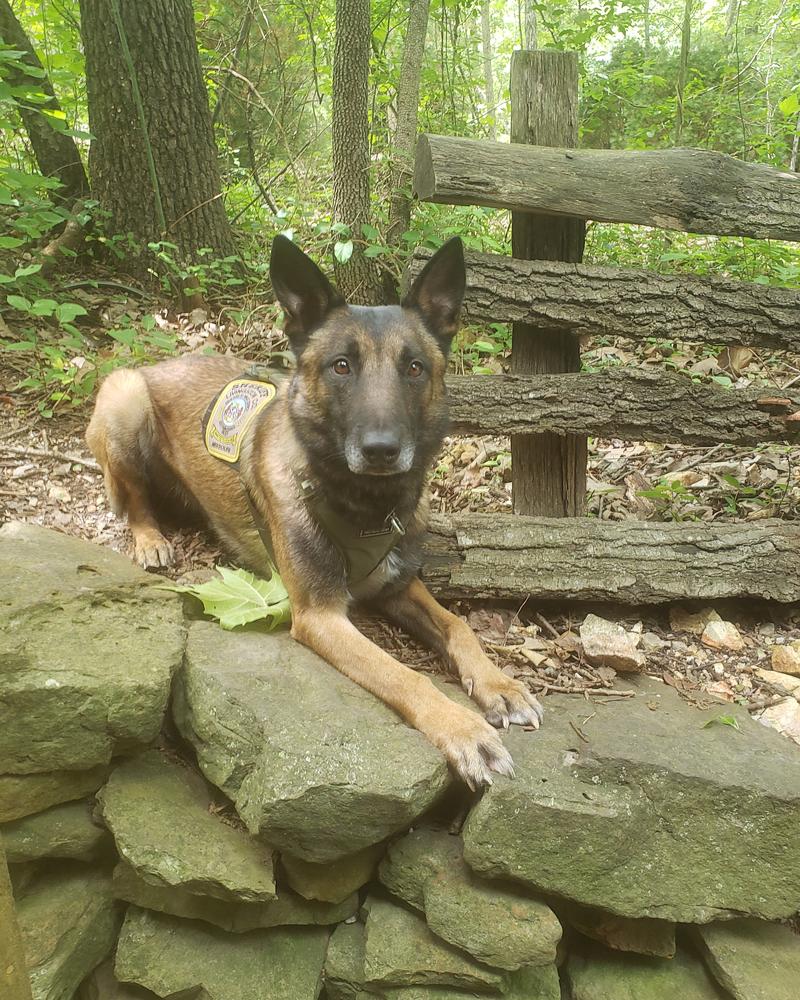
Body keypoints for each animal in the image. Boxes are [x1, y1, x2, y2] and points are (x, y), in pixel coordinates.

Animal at [87, 236, 544, 788]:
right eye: (341, 365)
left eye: (414, 368)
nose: (381, 450)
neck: (366, 503)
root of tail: (158, 364)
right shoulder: (321, 616)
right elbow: (404, 673)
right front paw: (465, 730)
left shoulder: (396, 587)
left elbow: (460, 626)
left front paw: (501, 684)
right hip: (125, 396)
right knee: (133, 498)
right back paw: (151, 539)